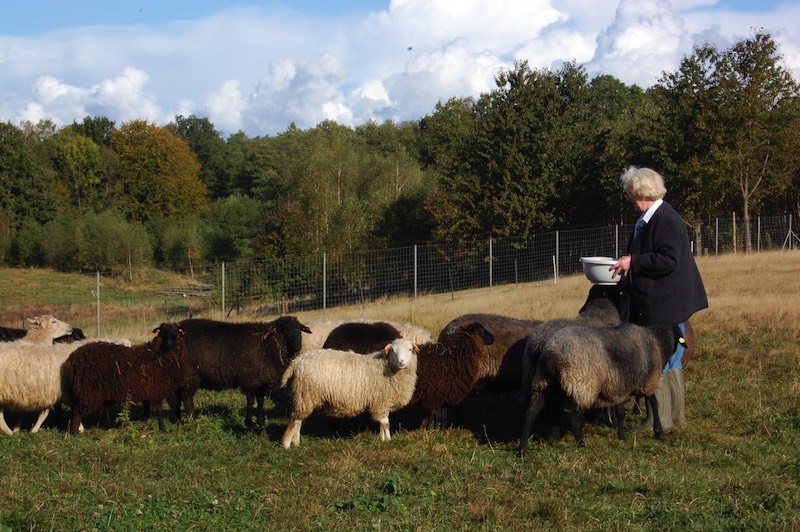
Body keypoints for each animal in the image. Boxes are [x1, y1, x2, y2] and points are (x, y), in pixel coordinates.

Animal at [280, 338, 418, 446]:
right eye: (393, 350)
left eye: (410, 349)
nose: (401, 362)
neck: (387, 366)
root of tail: (297, 361)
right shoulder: (380, 400)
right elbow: (386, 424)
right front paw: (388, 440)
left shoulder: (381, 403)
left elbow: (382, 423)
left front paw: (383, 438)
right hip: (306, 393)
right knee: (294, 421)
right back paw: (286, 445)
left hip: (302, 395)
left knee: (298, 420)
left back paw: (296, 443)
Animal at [520, 322, 684, 456]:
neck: (657, 342)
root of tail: (552, 353)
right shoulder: (646, 382)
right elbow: (654, 403)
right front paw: (659, 432)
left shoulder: (618, 385)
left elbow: (620, 412)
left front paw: (621, 435)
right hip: (583, 386)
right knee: (575, 420)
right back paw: (582, 445)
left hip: (544, 384)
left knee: (531, 414)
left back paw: (523, 450)